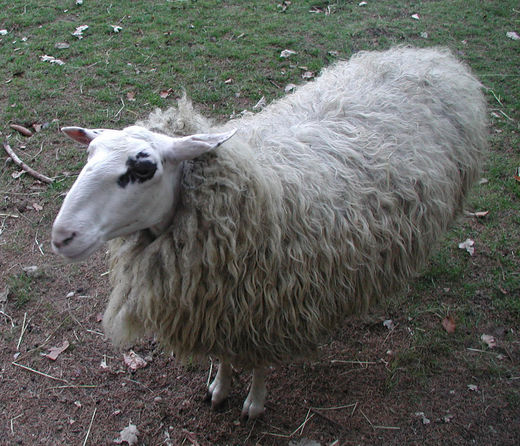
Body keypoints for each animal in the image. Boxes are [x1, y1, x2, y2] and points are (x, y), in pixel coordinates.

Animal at [51, 47, 488, 420]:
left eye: (143, 169)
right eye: (89, 155)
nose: (61, 236)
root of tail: (428, 55)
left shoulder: (266, 307)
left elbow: (259, 363)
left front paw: (254, 404)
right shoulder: (222, 304)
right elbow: (224, 356)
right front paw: (219, 388)